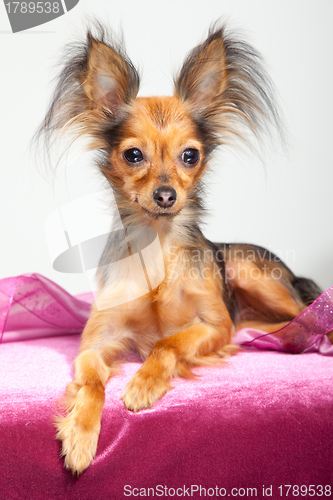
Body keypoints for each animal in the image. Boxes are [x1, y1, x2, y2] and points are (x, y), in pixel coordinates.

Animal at [37, 23, 320, 474]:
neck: (157, 242)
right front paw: (80, 433)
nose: (166, 195)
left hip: (251, 273)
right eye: (133, 155)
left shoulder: (215, 326)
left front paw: (144, 383)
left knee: (307, 315)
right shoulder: (94, 346)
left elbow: (167, 343)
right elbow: (93, 384)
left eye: (190, 155)